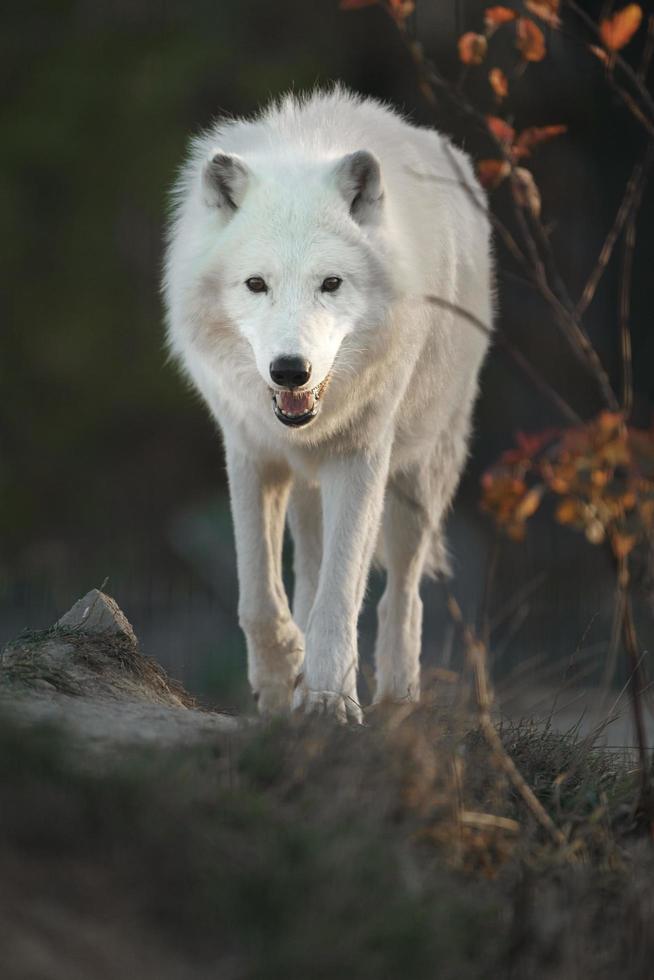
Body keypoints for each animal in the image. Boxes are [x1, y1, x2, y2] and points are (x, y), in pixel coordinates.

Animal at [163, 90, 492, 720]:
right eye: (256, 284)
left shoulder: (360, 458)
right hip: (308, 490)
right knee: (310, 575)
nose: (291, 369)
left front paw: (329, 700)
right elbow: (258, 593)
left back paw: (397, 700)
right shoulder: (251, 452)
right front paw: (279, 680)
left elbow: (342, 597)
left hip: (419, 475)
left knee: (402, 593)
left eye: (331, 283)